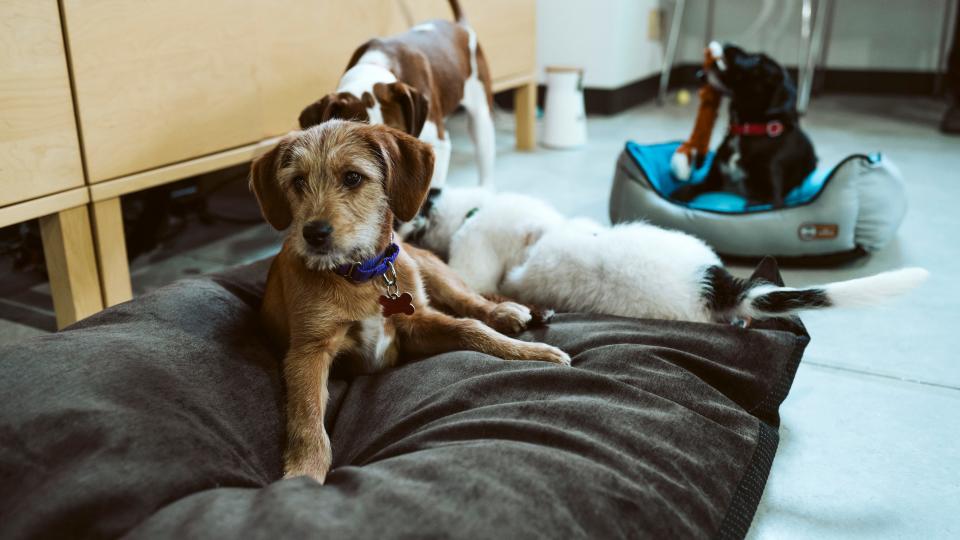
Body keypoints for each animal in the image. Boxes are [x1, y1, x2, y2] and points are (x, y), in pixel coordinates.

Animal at [249, 119, 568, 480]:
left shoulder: (416, 321)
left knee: (470, 298)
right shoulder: (309, 350)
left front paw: (531, 352)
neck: (362, 275)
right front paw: (304, 475)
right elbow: (307, 416)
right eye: (298, 181)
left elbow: (471, 327)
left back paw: (509, 310)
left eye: (352, 177)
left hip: (428, 266)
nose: (314, 234)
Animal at [668, 41, 816, 207]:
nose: (729, 45)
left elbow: (752, 205)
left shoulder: (770, 197)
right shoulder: (713, 180)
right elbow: (690, 187)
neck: (746, 130)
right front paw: (678, 195)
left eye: (756, 59)